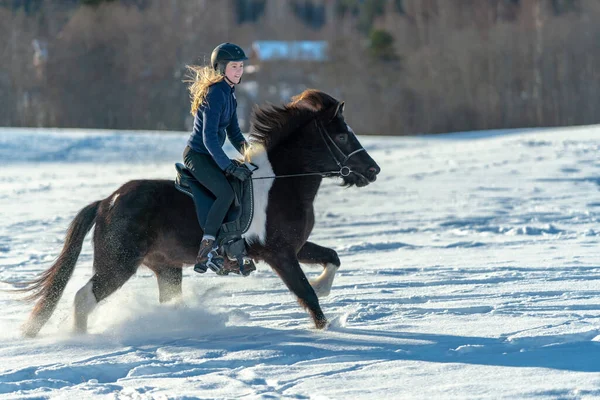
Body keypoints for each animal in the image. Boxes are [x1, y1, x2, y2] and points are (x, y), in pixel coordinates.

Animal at [21, 89, 382, 336]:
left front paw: (324, 286)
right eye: (341, 135)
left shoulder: (294, 246)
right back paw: (80, 338)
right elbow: (306, 294)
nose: (373, 170)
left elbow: (332, 257)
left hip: (166, 268)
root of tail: (107, 202)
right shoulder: (279, 253)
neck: (281, 183)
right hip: (119, 263)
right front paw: (327, 325)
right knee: (84, 297)